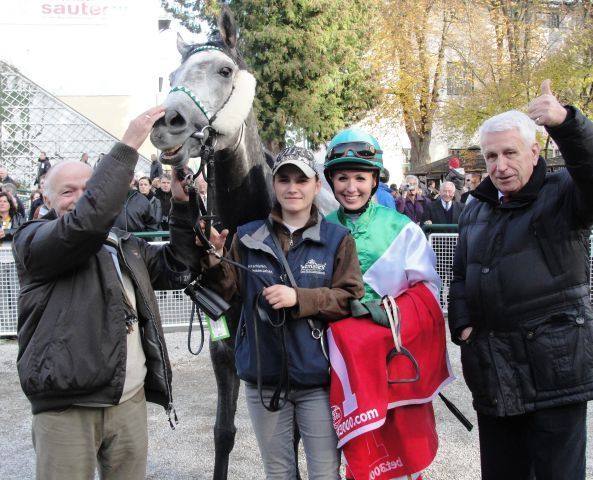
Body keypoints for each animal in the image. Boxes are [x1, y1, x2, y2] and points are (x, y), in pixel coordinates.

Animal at [150, 7, 336, 480]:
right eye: (172, 75)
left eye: (224, 70)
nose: (166, 123)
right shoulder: (223, 350)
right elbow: (224, 432)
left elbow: (294, 434)